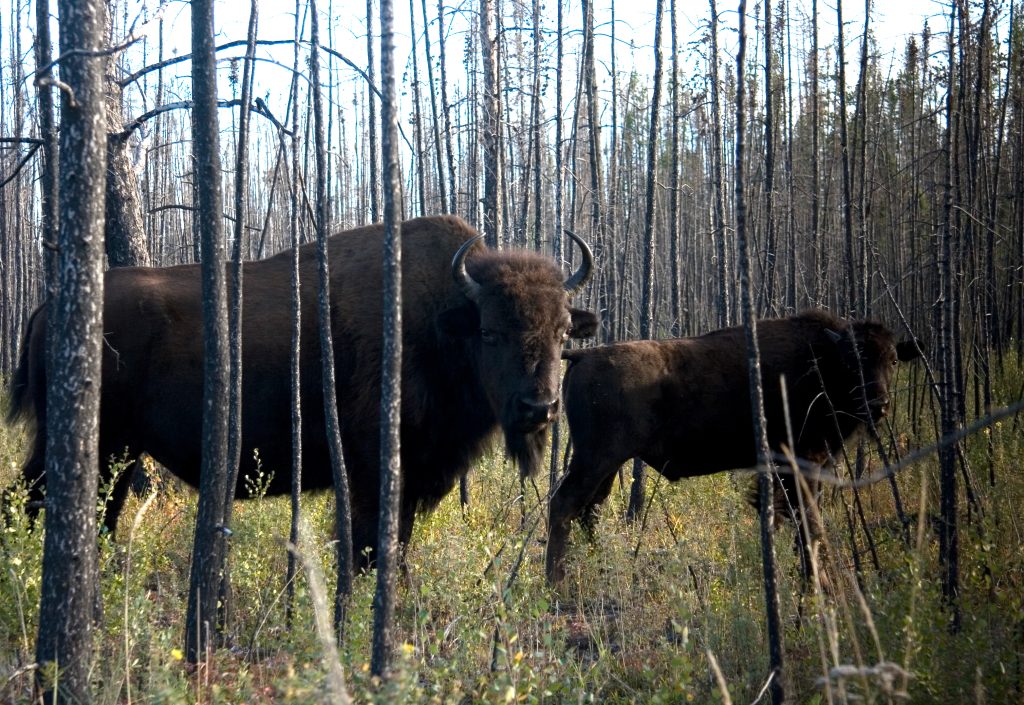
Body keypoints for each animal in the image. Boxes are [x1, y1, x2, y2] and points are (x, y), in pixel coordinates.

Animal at [8, 215, 598, 560]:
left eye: (562, 331)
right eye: (491, 332)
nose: (539, 407)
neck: (440, 319)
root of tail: (47, 306)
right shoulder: (372, 472)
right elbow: (369, 547)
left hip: (121, 451)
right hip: (92, 444)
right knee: (33, 500)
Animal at [545, 309, 920, 585]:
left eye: (893, 360)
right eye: (851, 361)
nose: (878, 404)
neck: (820, 361)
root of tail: (584, 354)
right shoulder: (803, 462)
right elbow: (809, 522)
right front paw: (819, 584)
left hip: (607, 464)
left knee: (590, 510)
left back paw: (600, 567)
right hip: (596, 458)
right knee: (565, 505)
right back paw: (557, 584)